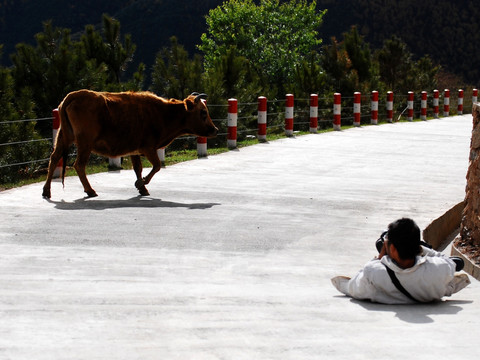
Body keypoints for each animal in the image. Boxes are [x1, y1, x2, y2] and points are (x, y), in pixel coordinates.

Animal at [42, 89, 218, 198]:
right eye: (203, 112)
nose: (215, 130)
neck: (163, 113)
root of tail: (74, 95)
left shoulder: (134, 150)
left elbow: (138, 168)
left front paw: (142, 188)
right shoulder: (148, 148)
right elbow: (156, 166)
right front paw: (141, 183)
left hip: (63, 137)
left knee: (54, 159)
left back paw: (46, 191)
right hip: (85, 143)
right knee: (78, 165)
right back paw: (90, 190)